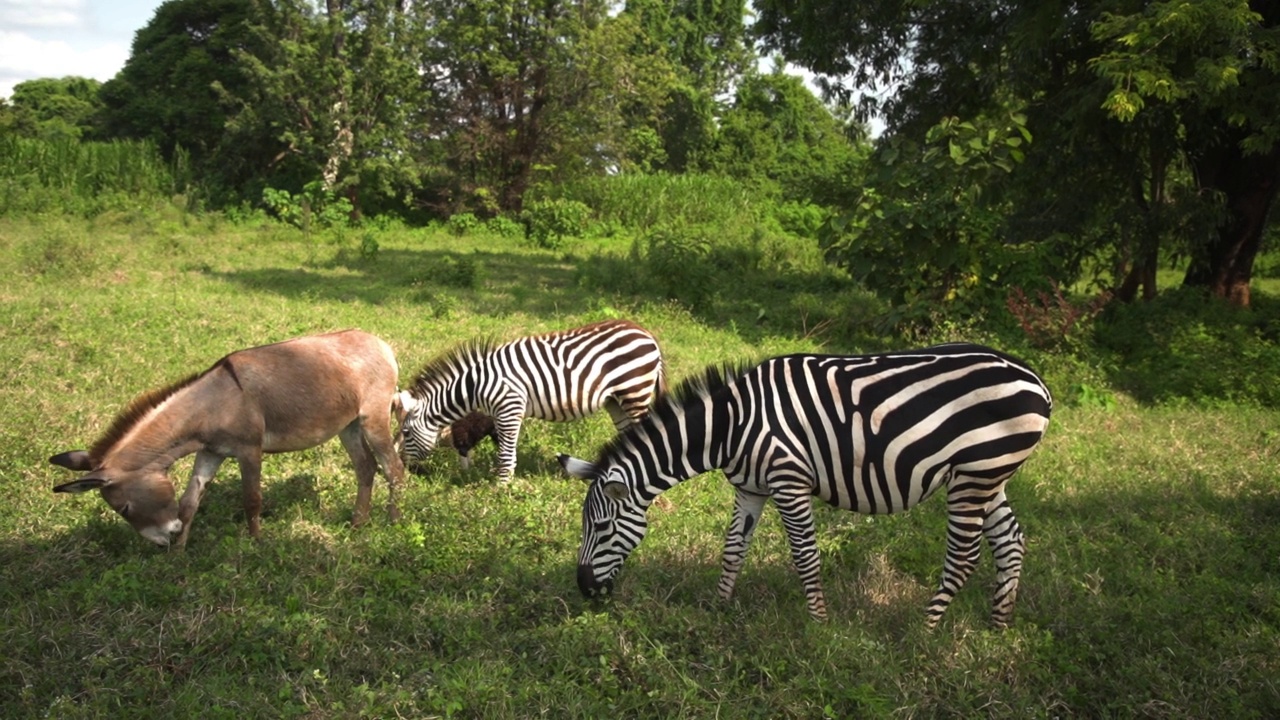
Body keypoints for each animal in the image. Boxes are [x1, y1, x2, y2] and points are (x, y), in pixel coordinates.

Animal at [394, 320, 665, 481]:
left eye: (406, 433)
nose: (404, 467)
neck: (475, 387)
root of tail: (646, 333)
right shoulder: (499, 414)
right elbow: (505, 449)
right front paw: (501, 480)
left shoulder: (509, 408)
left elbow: (505, 452)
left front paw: (500, 489)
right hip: (615, 400)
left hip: (635, 392)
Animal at [558, 338, 1049, 625]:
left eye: (600, 528)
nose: (583, 590)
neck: (731, 426)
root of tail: (1035, 379)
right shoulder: (750, 488)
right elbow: (732, 549)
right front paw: (717, 608)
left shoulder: (788, 480)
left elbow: (805, 556)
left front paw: (819, 625)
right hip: (989, 475)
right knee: (1012, 542)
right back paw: (998, 625)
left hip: (974, 476)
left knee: (964, 556)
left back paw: (926, 631)